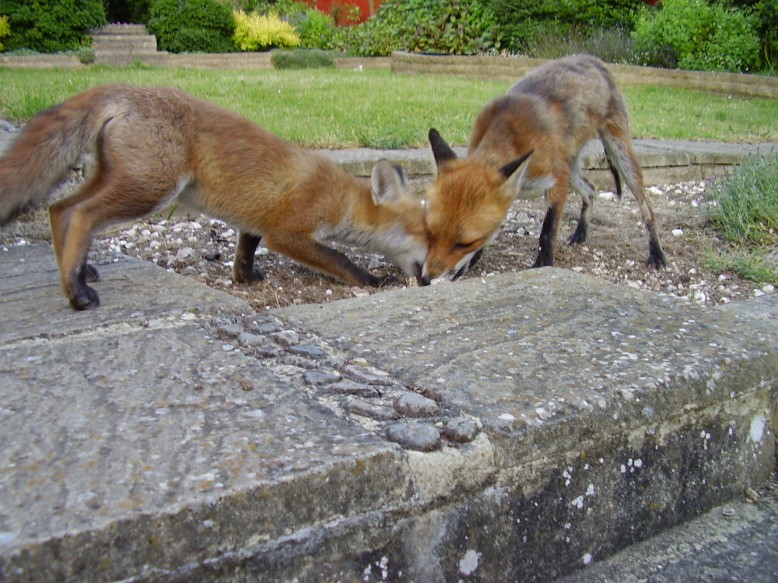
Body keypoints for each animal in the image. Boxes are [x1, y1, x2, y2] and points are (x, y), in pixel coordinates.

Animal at [0, 84, 428, 310]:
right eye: (428, 234)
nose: (430, 277)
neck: (342, 198)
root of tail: (127, 89)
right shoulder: (287, 231)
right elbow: (339, 259)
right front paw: (370, 280)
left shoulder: (256, 217)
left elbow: (245, 248)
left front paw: (244, 277)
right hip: (150, 189)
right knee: (81, 214)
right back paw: (76, 293)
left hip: (118, 179)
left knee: (60, 208)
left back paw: (76, 272)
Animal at [422, 54, 664, 286]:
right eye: (431, 233)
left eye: (464, 243)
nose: (424, 279)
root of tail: (594, 60)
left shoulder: (556, 178)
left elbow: (548, 229)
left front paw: (544, 264)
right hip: (571, 169)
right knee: (591, 189)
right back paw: (581, 233)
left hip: (618, 154)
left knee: (646, 209)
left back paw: (657, 254)